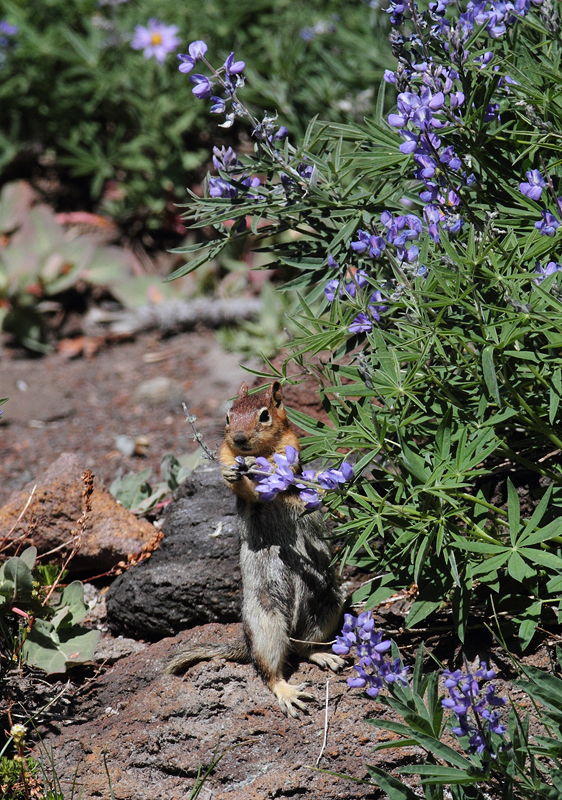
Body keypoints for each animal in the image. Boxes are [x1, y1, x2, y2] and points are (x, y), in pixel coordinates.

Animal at [164, 382, 344, 720]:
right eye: (228, 416)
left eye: (264, 415)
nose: (238, 438)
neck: (254, 453)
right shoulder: (226, 457)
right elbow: (240, 486)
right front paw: (234, 474)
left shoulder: (290, 446)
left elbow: (280, 464)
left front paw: (264, 468)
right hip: (265, 621)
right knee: (269, 669)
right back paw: (288, 692)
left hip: (329, 604)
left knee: (304, 647)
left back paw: (324, 656)